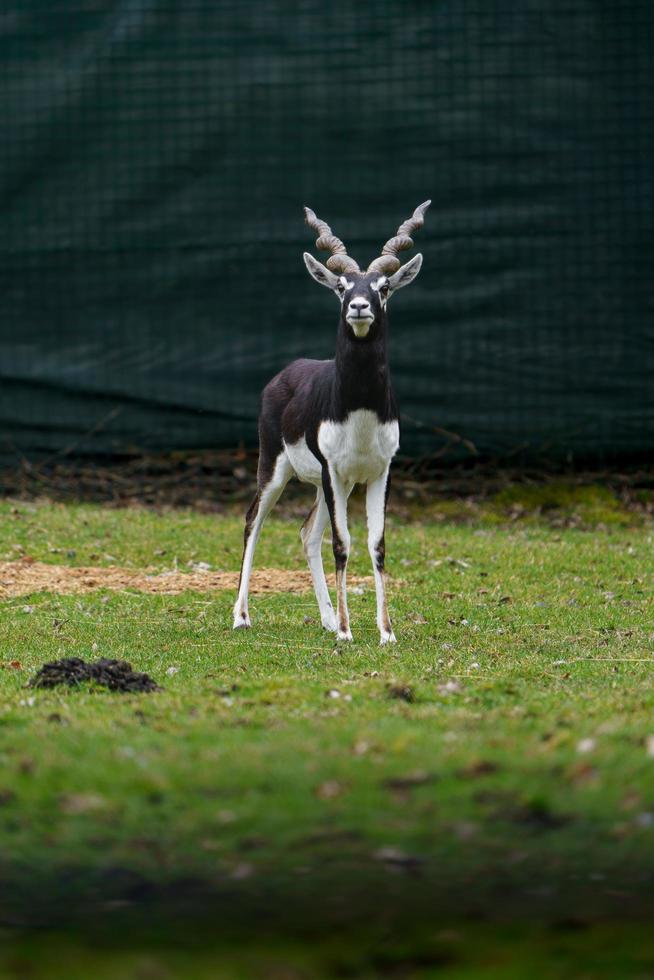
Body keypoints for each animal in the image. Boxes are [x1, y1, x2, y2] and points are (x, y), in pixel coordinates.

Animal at [234, 201, 430, 644]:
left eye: (384, 287)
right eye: (341, 286)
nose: (359, 307)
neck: (359, 412)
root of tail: (287, 372)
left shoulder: (379, 472)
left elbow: (376, 545)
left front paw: (385, 632)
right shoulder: (332, 471)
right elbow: (342, 545)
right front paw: (346, 631)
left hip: (332, 486)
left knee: (309, 534)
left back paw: (325, 618)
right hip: (277, 469)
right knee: (254, 521)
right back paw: (242, 616)